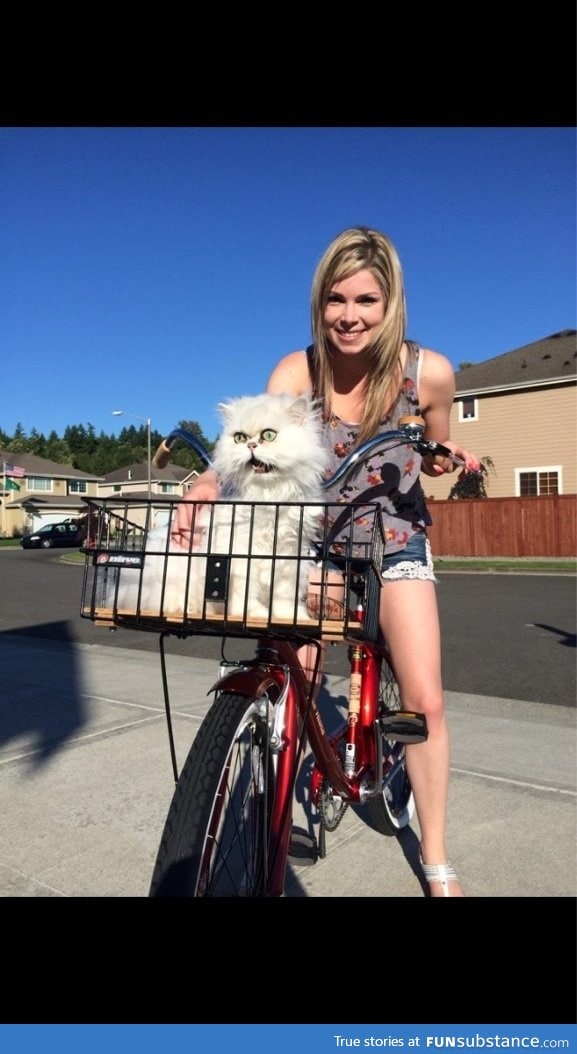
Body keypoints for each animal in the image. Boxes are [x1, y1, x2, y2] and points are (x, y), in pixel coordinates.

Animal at [116, 396, 329, 623]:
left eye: (269, 435)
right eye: (239, 438)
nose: (250, 445)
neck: (267, 496)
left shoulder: (289, 558)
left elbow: (285, 596)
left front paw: (292, 617)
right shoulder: (239, 558)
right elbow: (245, 593)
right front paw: (253, 614)